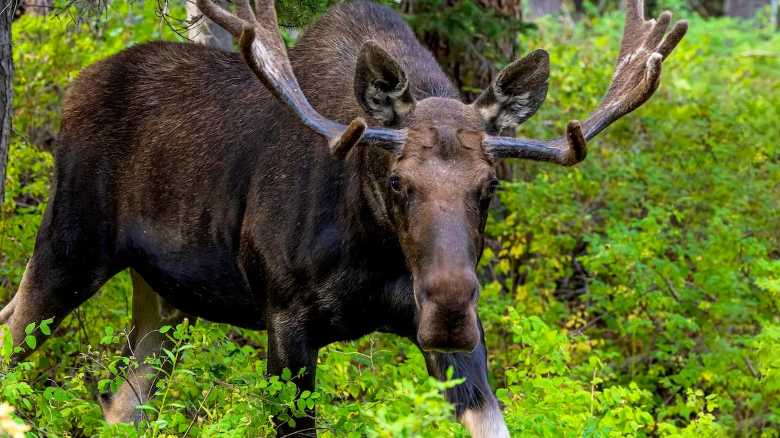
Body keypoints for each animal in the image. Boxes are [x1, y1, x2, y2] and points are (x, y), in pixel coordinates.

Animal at [0, 0, 686, 435]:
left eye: (489, 186)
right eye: (397, 180)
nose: (448, 308)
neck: (374, 253)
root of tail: (76, 84)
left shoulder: (459, 345)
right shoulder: (286, 324)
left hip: (166, 297)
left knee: (121, 403)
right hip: (71, 245)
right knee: (14, 328)